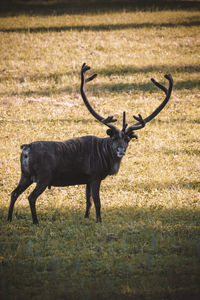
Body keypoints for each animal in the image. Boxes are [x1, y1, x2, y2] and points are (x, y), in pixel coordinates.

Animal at [7, 62, 173, 223]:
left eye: (127, 139)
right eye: (114, 138)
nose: (120, 150)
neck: (105, 156)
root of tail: (26, 148)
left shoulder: (87, 179)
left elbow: (88, 201)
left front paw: (86, 218)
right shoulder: (95, 176)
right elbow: (98, 202)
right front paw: (99, 221)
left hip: (25, 175)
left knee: (14, 193)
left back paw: (9, 219)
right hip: (43, 176)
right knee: (31, 197)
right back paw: (35, 221)